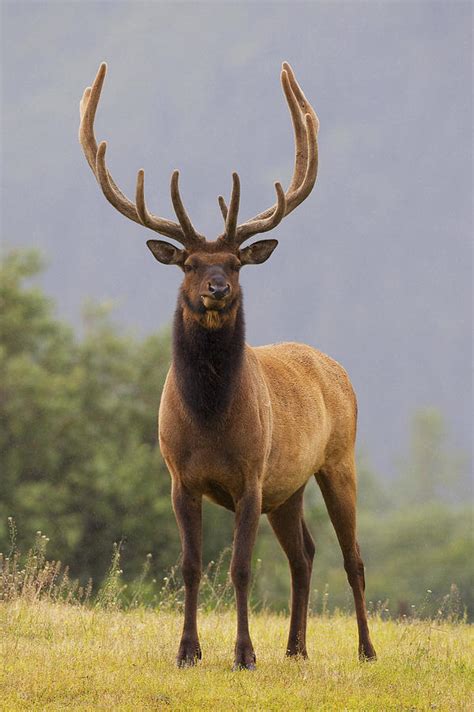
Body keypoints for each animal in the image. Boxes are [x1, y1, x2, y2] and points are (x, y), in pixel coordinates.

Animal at [78, 61, 378, 668]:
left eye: (237, 263)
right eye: (190, 263)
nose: (217, 288)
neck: (211, 420)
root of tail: (337, 369)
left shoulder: (250, 477)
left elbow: (240, 569)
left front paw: (243, 653)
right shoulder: (179, 478)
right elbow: (191, 567)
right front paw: (188, 651)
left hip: (338, 459)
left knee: (352, 556)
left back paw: (364, 649)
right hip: (289, 487)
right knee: (305, 554)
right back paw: (295, 649)